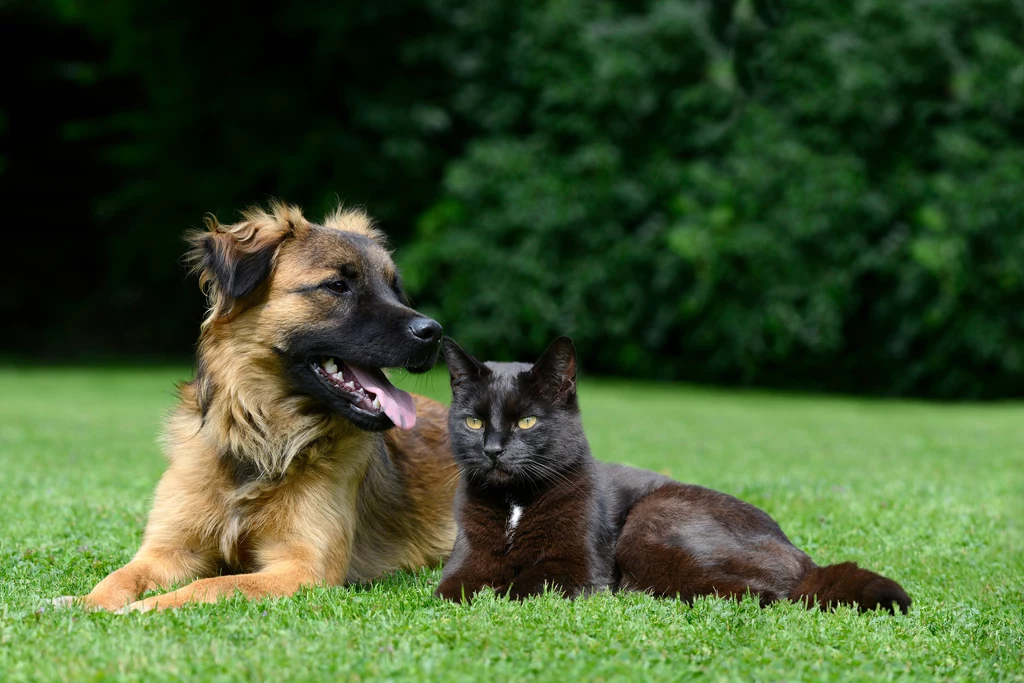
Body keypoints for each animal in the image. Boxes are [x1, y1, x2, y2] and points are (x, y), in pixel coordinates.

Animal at [51, 200, 458, 610]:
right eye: (338, 286)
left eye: (395, 288)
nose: (434, 333)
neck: (261, 436)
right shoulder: (169, 549)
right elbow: (119, 576)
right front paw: (86, 603)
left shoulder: (303, 569)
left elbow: (212, 585)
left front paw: (146, 608)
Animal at [436, 339, 909, 610]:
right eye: (474, 422)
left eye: (527, 422)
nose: (493, 450)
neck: (514, 502)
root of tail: (802, 556)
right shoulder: (465, 562)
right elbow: (454, 589)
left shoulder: (580, 567)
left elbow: (517, 586)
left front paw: (496, 594)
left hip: (651, 524)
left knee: (770, 595)